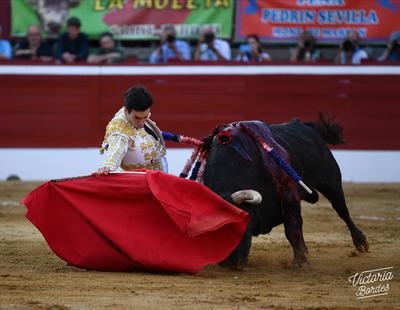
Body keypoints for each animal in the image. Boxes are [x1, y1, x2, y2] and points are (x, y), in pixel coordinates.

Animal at [203, 117, 368, 268]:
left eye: (239, 226)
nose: (229, 263)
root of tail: (307, 127)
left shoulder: (289, 195)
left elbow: (292, 228)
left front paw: (300, 262)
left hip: (331, 181)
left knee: (341, 209)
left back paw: (360, 241)